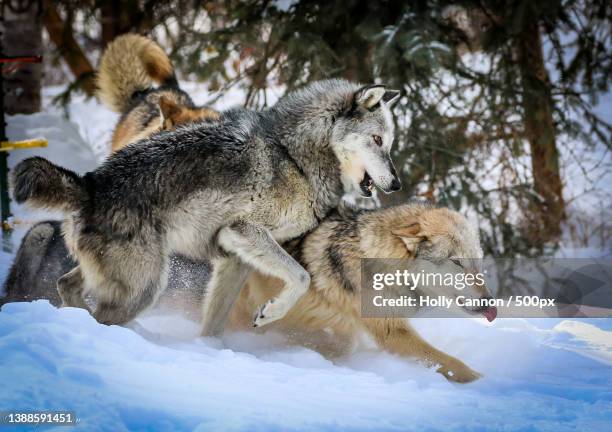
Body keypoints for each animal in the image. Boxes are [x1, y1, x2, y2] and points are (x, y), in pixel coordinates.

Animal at [10, 79, 402, 336]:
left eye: (390, 143)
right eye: (377, 140)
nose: (397, 185)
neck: (295, 158)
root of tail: (88, 185)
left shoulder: (234, 256)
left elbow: (214, 321)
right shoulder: (244, 230)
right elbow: (302, 277)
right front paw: (270, 313)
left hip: (114, 277)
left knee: (66, 286)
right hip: (146, 286)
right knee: (101, 316)